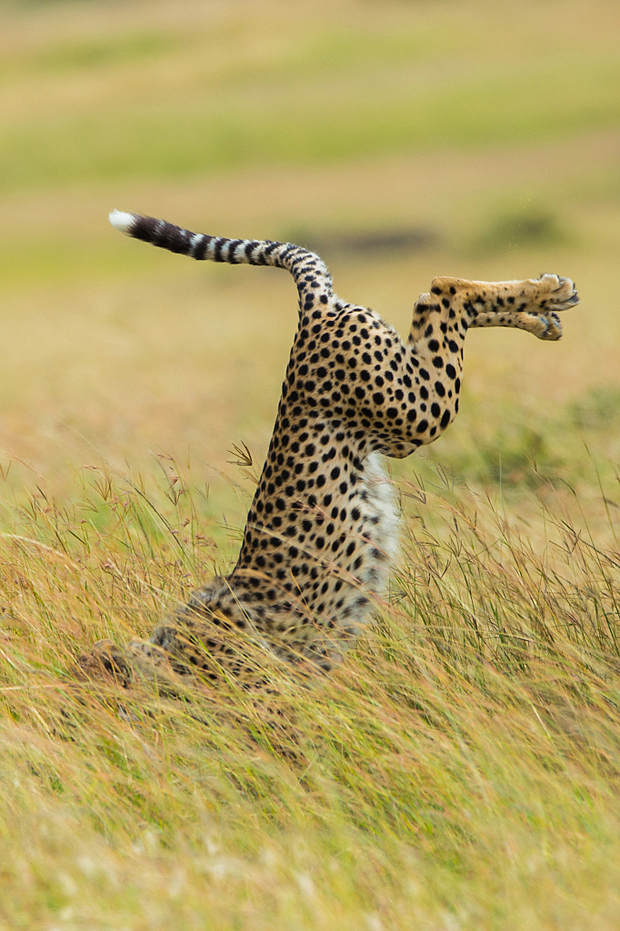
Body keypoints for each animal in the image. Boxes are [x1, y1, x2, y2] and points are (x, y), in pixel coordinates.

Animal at [75, 211, 580, 688]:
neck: (162, 651)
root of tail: (313, 313)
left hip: (417, 409)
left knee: (441, 290)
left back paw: (544, 294)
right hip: (399, 424)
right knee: (434, 303)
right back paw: (545, 309)